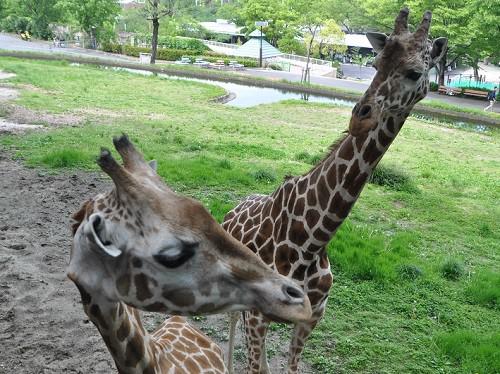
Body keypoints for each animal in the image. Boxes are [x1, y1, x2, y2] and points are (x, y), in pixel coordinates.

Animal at [224, 8, 450, 374]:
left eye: (415, 72)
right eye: (375, 63)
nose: (360, 118)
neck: (310, 242)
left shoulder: (310, 319)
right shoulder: (257, 317)